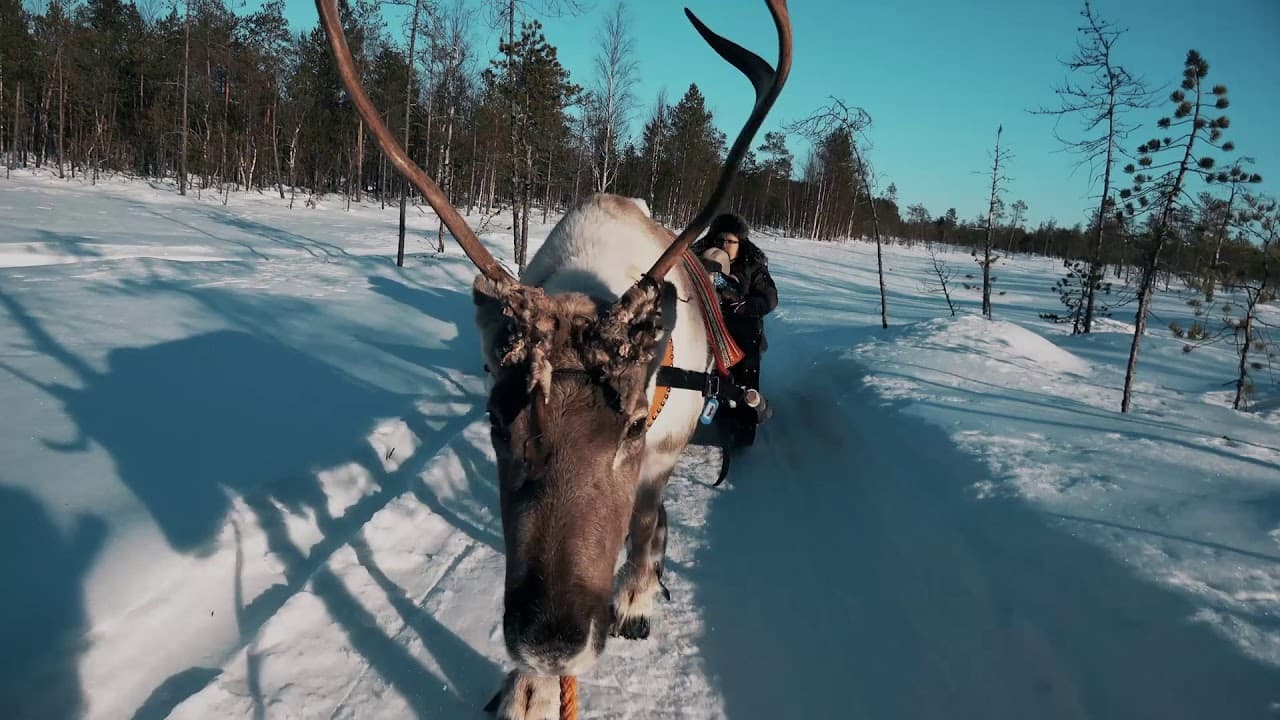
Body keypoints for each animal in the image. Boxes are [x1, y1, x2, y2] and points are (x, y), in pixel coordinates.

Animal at [315, 1, 792, 717]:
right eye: (494, 420)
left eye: (632, 423)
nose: (551, 640)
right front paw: (528, 688)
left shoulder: (660, 449)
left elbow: (643, 524)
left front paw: (635, 598)